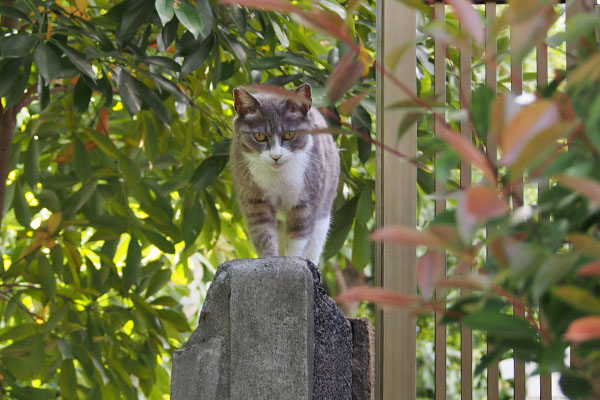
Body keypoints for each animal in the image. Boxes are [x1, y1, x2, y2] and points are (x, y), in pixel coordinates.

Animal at [230, 83, 340, 266]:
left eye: (289, 134)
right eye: (259, 136)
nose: (276, 156)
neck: (278, 178)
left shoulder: (306, 201)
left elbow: (300, 237)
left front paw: (294, 261)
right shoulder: (254, 201)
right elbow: (263, 234)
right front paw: (270, 260)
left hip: (323, 214)